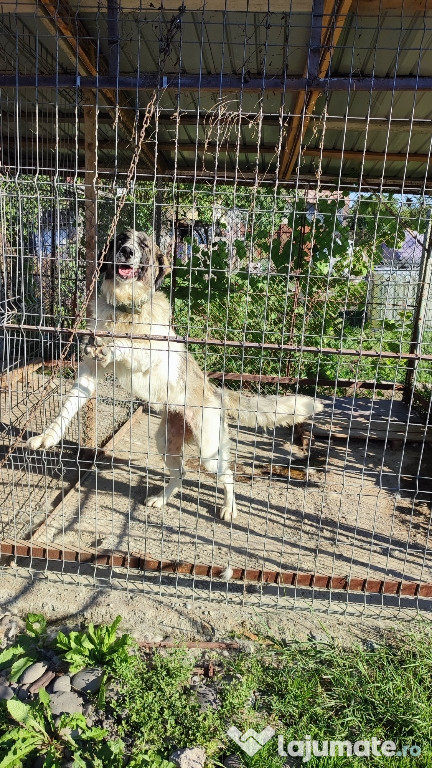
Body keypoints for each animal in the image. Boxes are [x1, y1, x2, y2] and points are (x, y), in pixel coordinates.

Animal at [26, 226, 324, 516]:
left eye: (144, 245)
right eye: (120, 239)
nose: (127, 251)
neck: (125, 309)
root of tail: (215, 393)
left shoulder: (152, 351)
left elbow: (130, 344)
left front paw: (112, 344)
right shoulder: (90, 371)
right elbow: (67, 407)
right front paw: (47, 437)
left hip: (210, 451)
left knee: (226, 475)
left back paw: (229, 508)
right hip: (165, 442)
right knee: (180, 473)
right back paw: (162, 499)